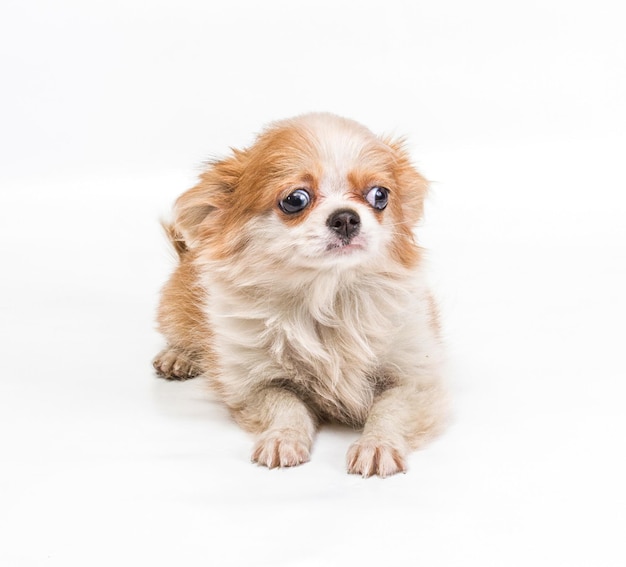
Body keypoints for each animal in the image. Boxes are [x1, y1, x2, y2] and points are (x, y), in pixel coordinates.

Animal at [154, 113, 446, 478]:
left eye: (380, 196)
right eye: (296, 200)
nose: (346, 217)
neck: (329, 299)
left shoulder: (416, 378)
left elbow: (389, 410)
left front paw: (377, 445)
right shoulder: (254, 384)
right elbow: (286, 406)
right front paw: (284, 439)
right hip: (176, 311)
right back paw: (178, 357)